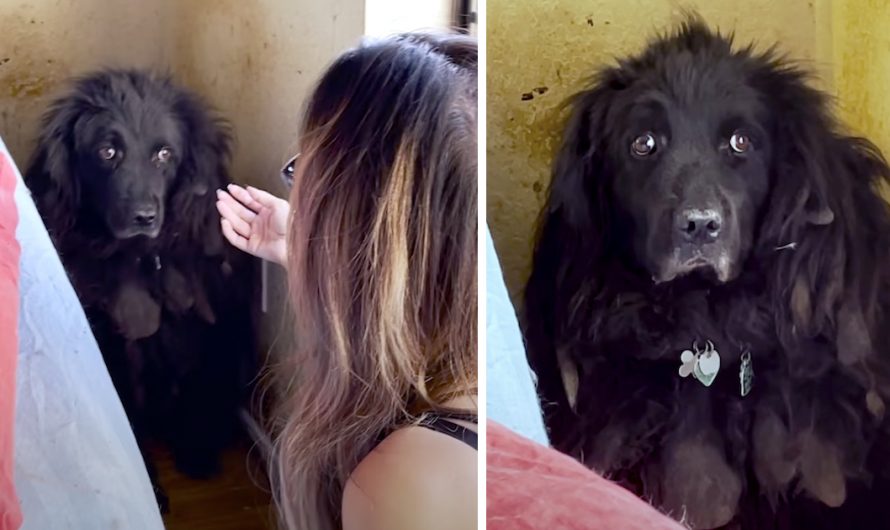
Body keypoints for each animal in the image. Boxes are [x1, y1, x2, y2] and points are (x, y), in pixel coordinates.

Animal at [25, 69, 253, 508]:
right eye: (107, 152)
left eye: (164, 154)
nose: (143, 216)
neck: (140, 257)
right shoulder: (109, 344)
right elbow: (124, 417)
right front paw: (145, 481)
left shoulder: (194, 324)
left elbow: (196, 387)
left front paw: (196, 450)